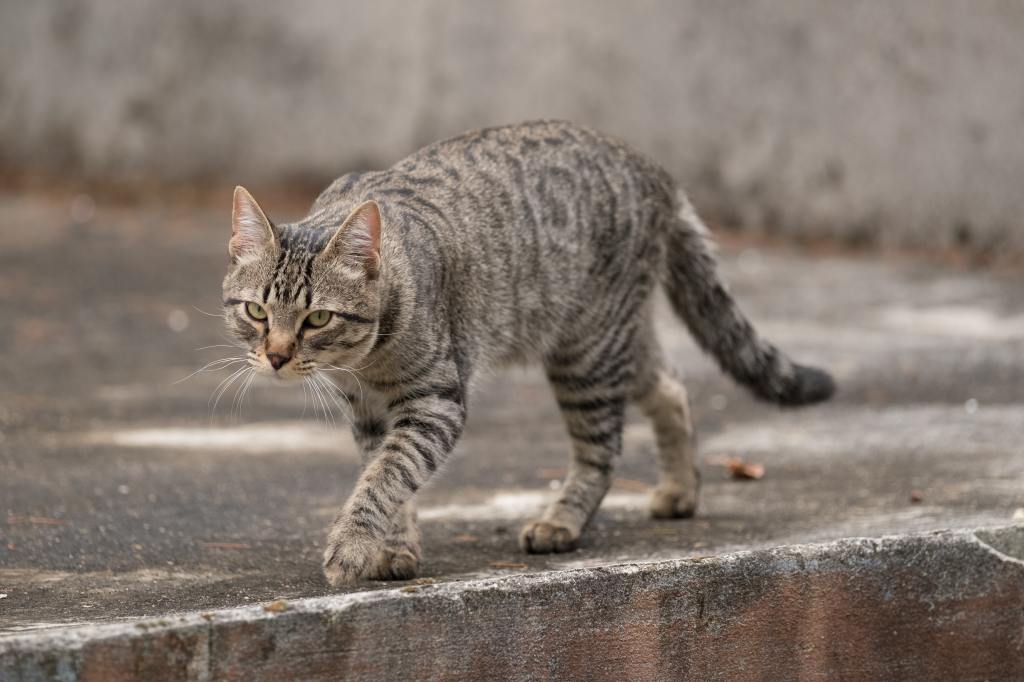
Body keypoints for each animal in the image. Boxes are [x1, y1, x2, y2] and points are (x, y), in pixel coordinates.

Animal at [220, 118, 835, 585]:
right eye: (256, 312)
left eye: (317, 318)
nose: (276, 356)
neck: (363, 366)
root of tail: (649, 165)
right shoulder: (369, 413)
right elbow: (386, 475)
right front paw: (393, 548)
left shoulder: (435, 402)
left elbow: (388, 476)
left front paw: (351, 546)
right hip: (614, 338)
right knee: (669, 385)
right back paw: (681, 489)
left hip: (586, 351)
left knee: (603, 449)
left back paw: (561, 521)